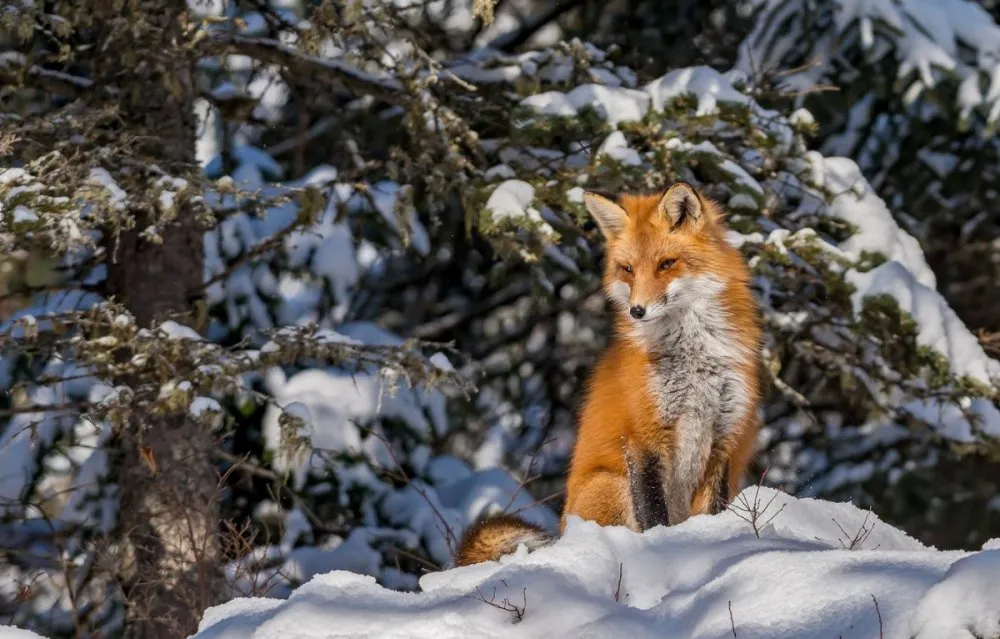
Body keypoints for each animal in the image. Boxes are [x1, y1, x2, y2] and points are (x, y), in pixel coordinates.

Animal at [458, 182, 760, 568]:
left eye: (667, 264)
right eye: (628, 269)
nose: (636, 311)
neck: (693, 357)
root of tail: (563, 532)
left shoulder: (724, 435)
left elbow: (714, 510)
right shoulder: (643, 434)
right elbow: (653, 513)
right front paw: (663, 551)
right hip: (611, 483)